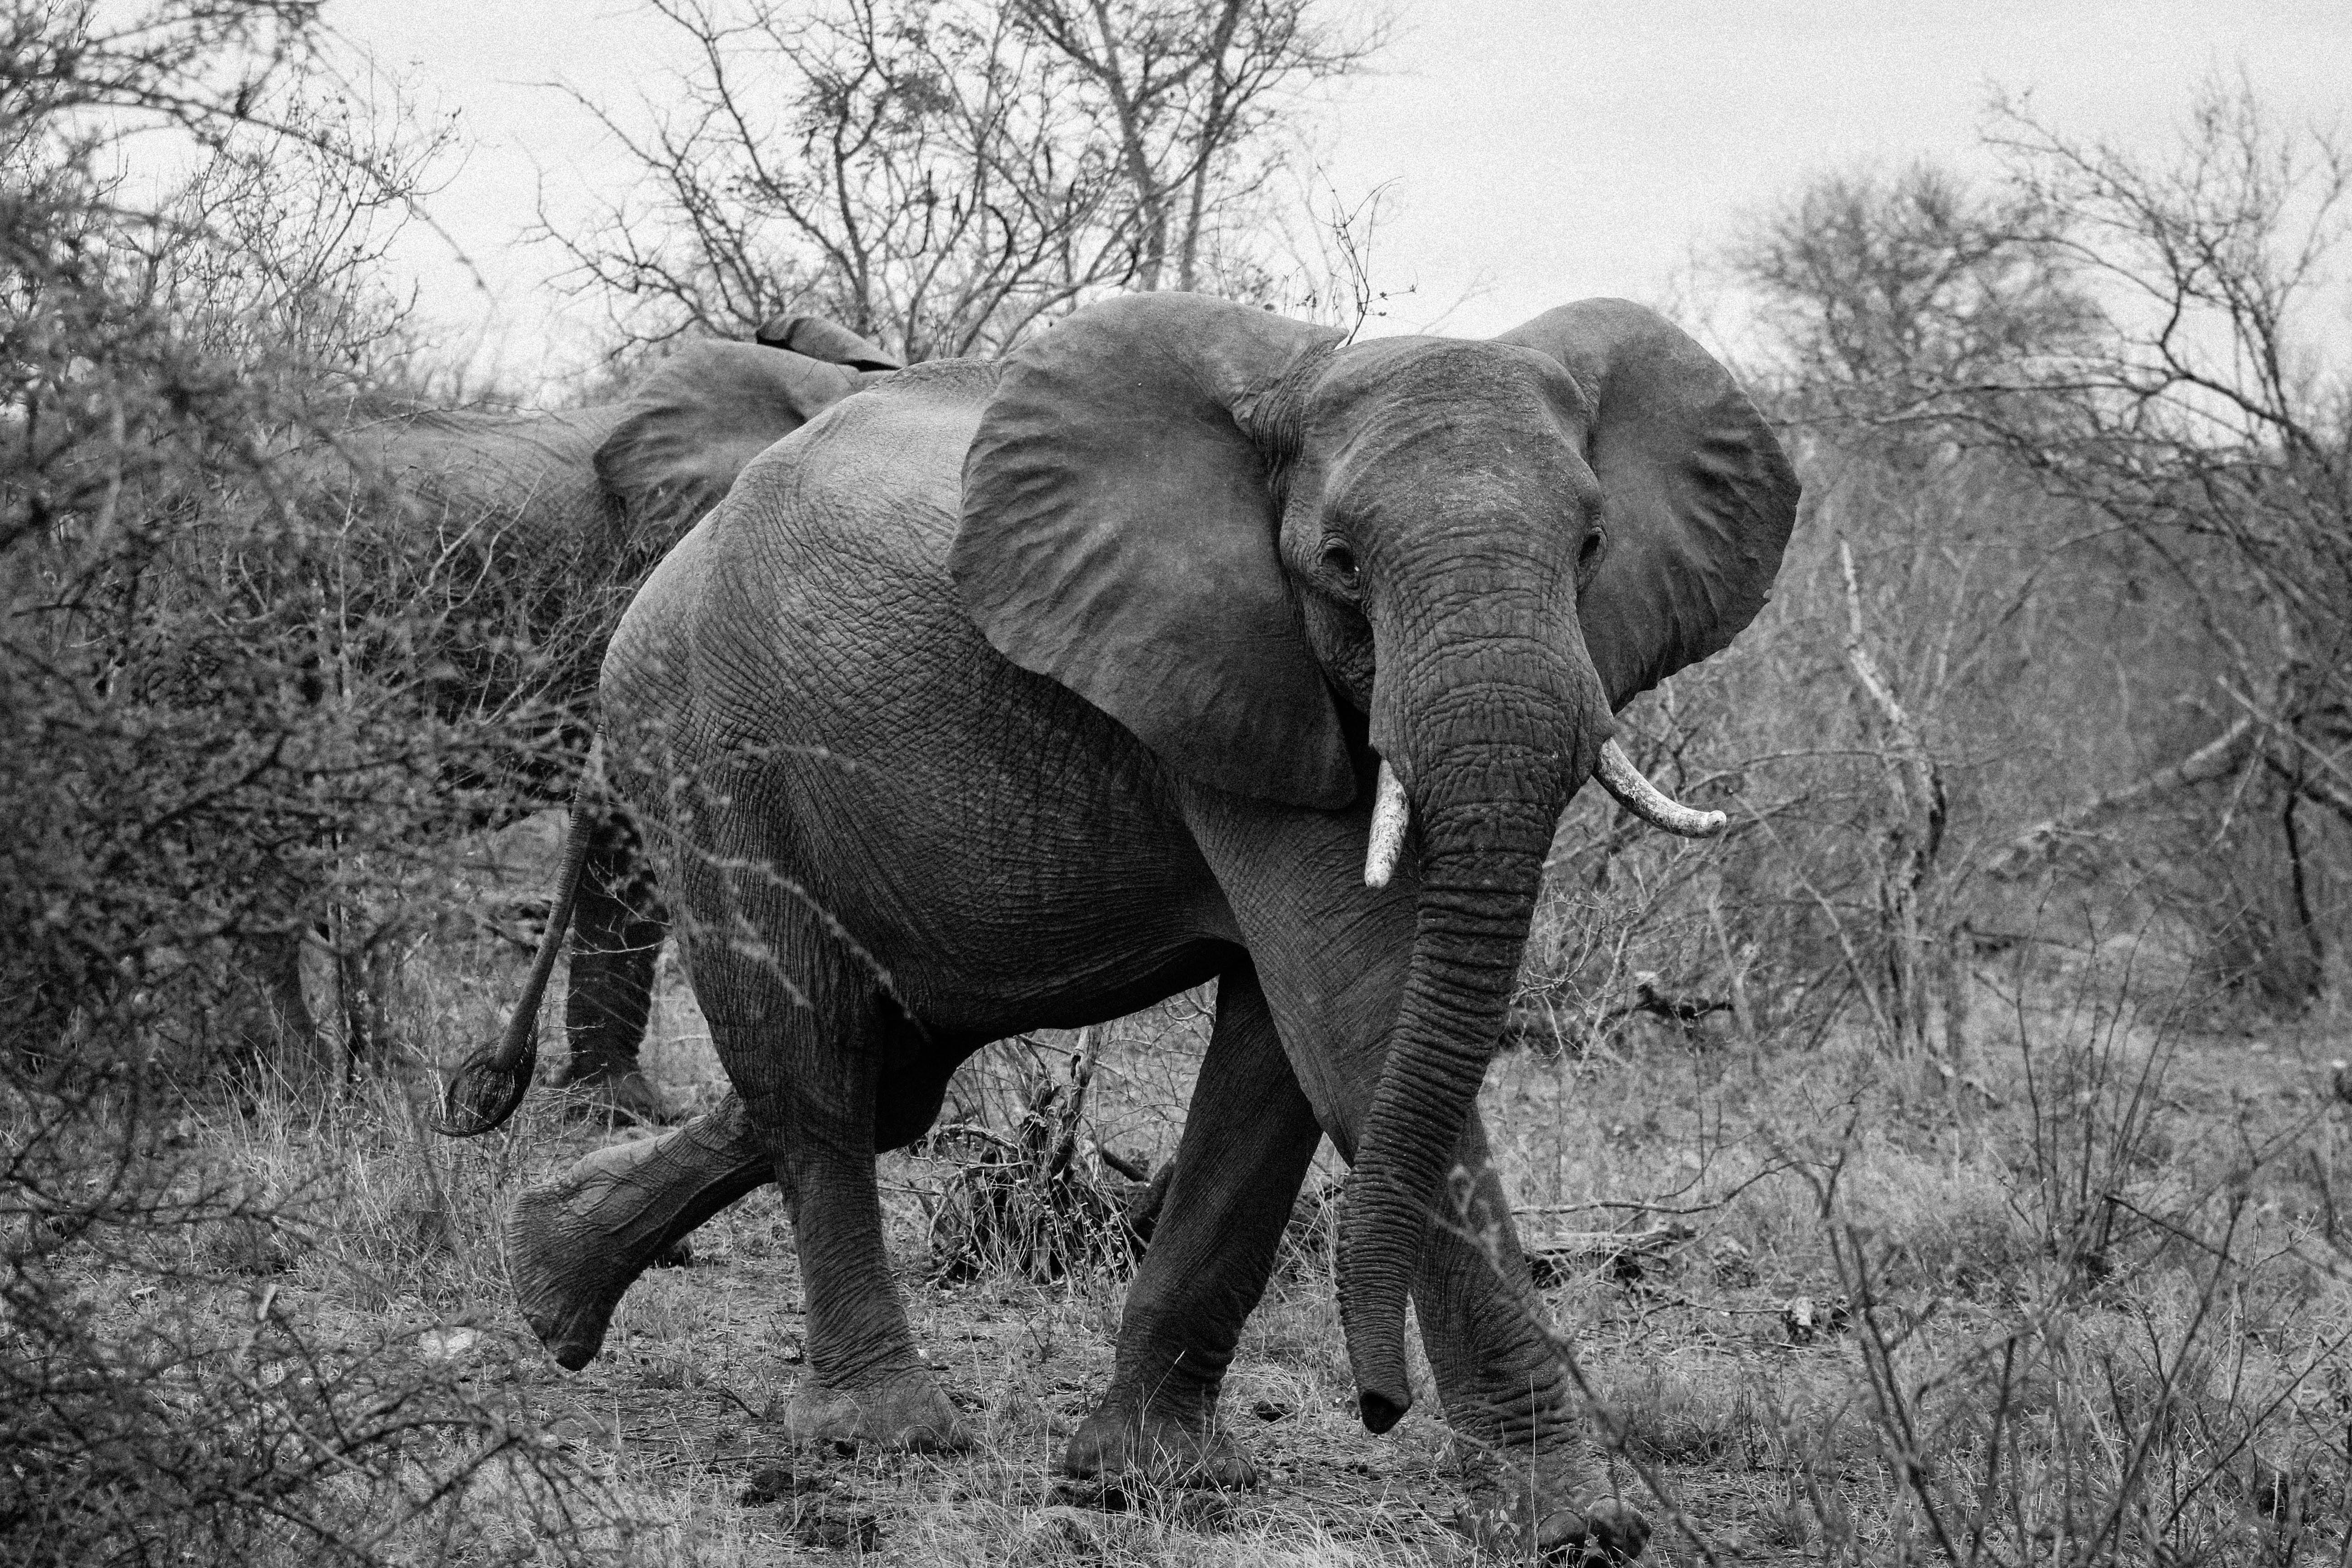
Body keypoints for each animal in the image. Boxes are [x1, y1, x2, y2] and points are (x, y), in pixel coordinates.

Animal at [444, 291, 1798, 1557]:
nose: (1377, 1404)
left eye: (1592, 544)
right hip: (709, 759)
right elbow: (1358, 1031)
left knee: (886, 1078)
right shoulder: (1231, 670)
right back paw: (882, 1436)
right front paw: (1581, 1527)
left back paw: (544, 1282)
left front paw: (1138, 1480)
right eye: (1341, 561)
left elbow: (1284, 1058)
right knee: (815, 1071)